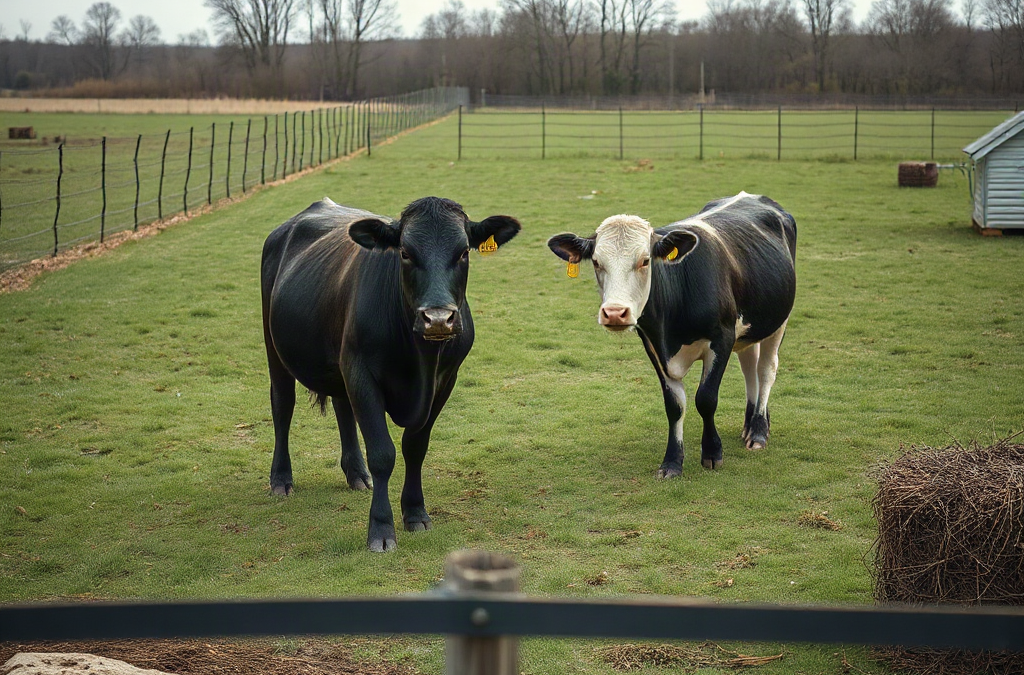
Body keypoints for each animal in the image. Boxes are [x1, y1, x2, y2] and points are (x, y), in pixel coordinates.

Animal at [261, 196, 520, 551]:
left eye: (464, 252)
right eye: (406, 253)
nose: (437, 319)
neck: (419, 359)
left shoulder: (444, 381)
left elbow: (415, 447)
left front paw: (415, 513)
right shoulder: (362, 374)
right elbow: (383, 454)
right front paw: (381, 529)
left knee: (342, 407)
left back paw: (356, 474)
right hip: (275, 348)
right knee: (282, 405)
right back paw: (281, 479)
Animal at [547, 192, 796, 477]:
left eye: (645, 261)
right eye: (597, 263)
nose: (614, 313)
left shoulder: (722, 338)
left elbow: (706, 398)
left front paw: (712, 453)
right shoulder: (654, 345)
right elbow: (674, 405)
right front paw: (672, 462)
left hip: (779, 320)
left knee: (765, 369)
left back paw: (758, 431)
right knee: (749, 367)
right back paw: (749, 425)